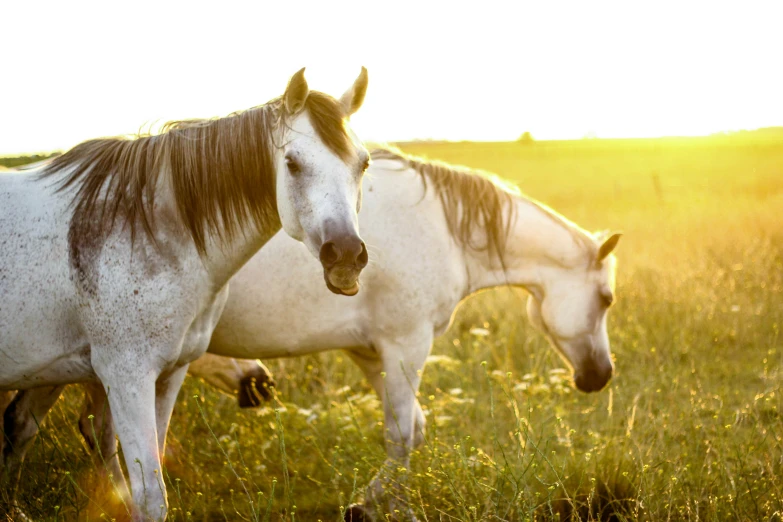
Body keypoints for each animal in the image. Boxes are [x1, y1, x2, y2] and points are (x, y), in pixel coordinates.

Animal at [0, 67, 374, 516]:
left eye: (364, 163)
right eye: (292, 163)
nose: (346, 255)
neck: (145, 232)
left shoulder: (168, 374)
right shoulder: (124, 376)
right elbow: (148, 496)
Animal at [4, 144, 620, 516]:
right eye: (607, 298)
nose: (600, 376)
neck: (443, 228)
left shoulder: (372, 353)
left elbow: (409, 431)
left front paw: (384, 505)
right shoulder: (405, 346)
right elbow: (404, 434)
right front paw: (370, 506)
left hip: (69, 364)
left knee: (47, 427)